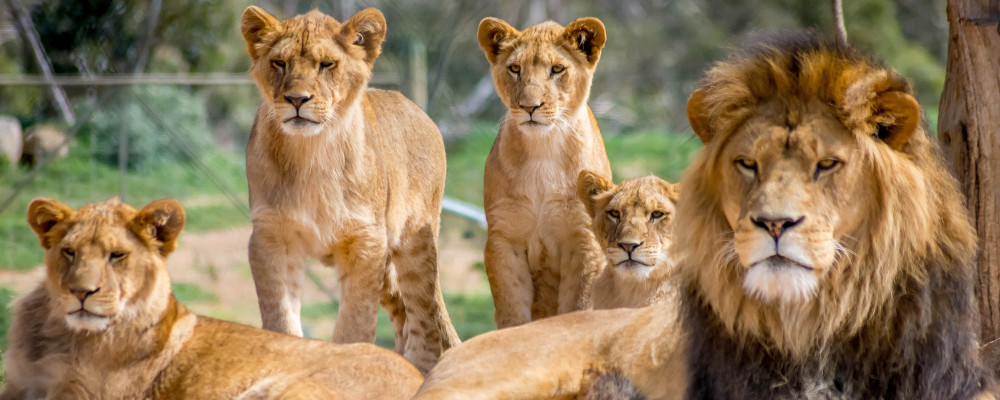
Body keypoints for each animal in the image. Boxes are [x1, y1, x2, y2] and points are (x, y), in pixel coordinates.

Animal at [240, 6, 458, 374]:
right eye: (279, 63)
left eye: (327, 64)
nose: (296, 99)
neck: (311, 153)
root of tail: (419, 110)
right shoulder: (271, 237)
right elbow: (281, 318)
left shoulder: (366, 240)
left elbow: (354, 325)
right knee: (403, 312)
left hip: (414, 241)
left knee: (424, 316)